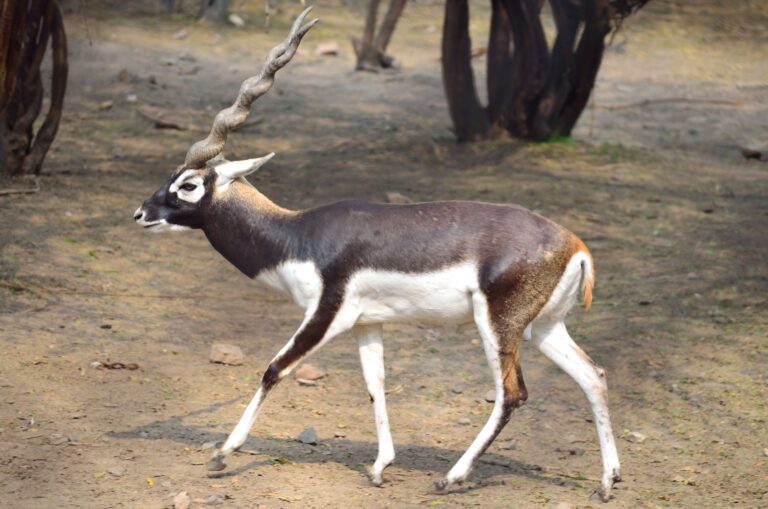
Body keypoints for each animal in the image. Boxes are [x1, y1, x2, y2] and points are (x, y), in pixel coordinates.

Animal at [134, 8, 621, 501]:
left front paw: (221, 454)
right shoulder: (367, 323)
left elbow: (274, 369)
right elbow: (376, 385)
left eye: (188, 184)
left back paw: (452, 477)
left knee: (512, 393)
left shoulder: (326, 313)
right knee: (593, 376)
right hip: (543, 327)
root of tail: (575, 245)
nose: (141, 213)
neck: (296, 235)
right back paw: (608, 481)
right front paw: (380, 465)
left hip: (498, 325)